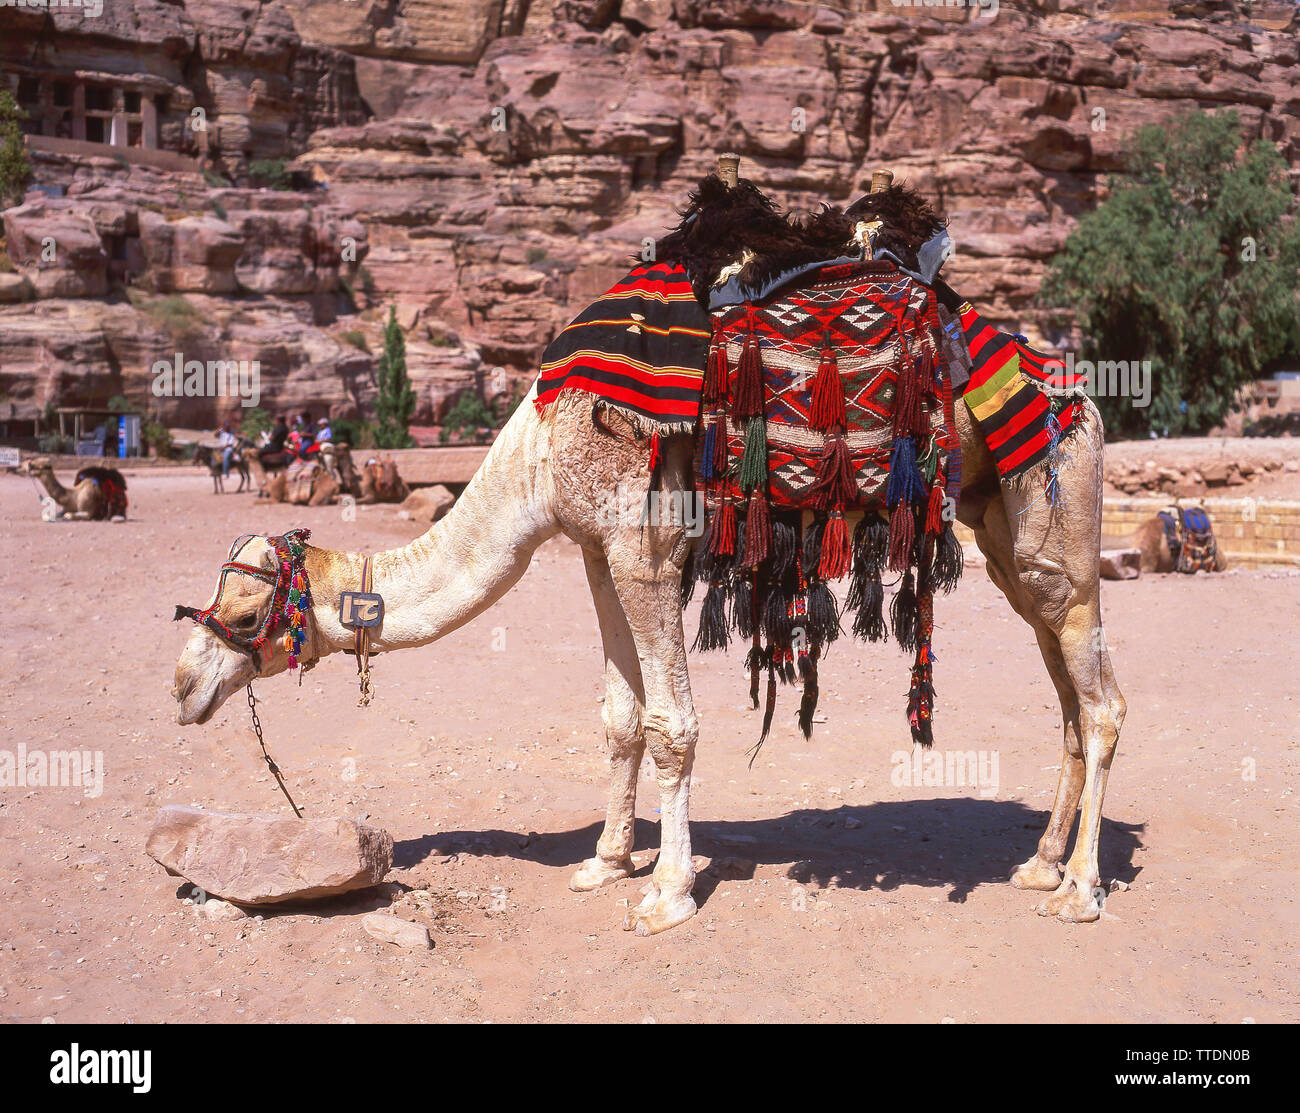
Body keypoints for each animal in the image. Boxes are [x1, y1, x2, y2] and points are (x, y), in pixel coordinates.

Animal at [172, 167, 1128, 930]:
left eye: (248, 612)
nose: (183, 685)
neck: (541, 450)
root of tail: (1076, 389)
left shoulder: (645, 550)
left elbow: (673, 726)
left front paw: (666, 891)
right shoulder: (598, 552)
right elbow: (619, 718)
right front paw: (604, 860)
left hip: (1058, 507)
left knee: (1103, 702)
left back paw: (1080, 889)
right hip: (1000, 529)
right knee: (1068, 698)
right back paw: (1039, 861)